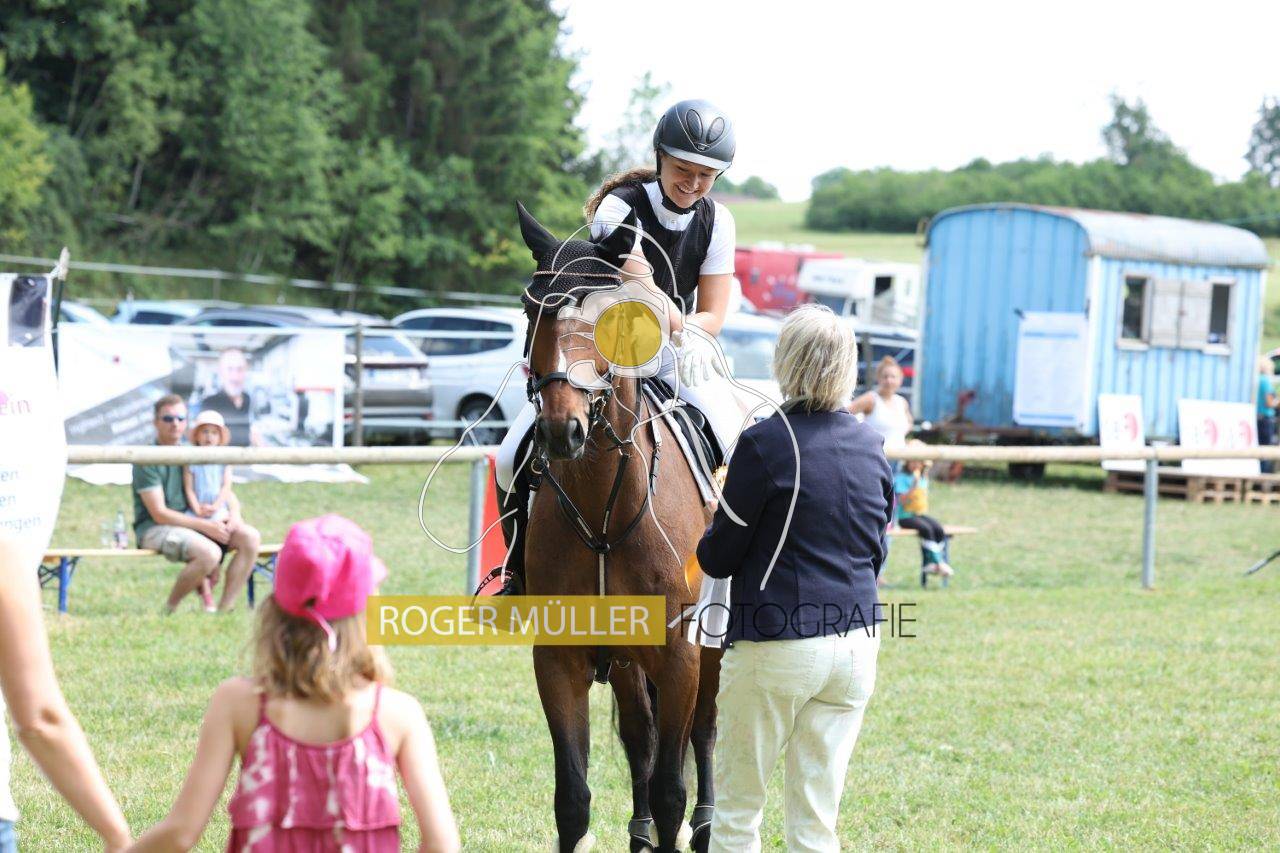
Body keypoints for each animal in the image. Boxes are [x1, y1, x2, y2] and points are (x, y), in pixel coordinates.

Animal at [514, 202, 723, 853]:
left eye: (610, 318)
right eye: (531, 310)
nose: (562, 429)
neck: (604, 504)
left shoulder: (680, 654)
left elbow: (672, 786)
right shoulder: (559, 660)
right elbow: (573, 799)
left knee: (703, 733)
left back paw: (707, 824)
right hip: (629, 661)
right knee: (640, 736)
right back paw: (640, 832)